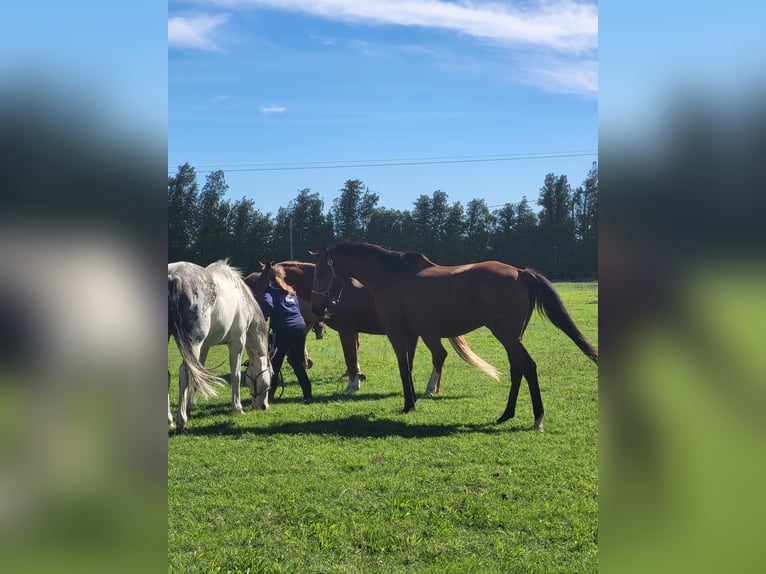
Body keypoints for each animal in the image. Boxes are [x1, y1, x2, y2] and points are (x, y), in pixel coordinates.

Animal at [169, 260, 272, 432]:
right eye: (271, 374)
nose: (264, 406)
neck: (241, 296)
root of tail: (172, 277)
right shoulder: (237, 342)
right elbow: (236, 375)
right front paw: (237, 407)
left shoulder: (204, 348)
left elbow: (198, 376)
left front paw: (189, 406)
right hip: (192, 343)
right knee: (184, 372)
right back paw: (180, 420)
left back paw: (170, 418)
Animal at [254, 260, 504, 396]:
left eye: (261, 281)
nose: (256, 305)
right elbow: (353, 355)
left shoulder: (346, 329)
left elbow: (350, 356)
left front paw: (353, 384)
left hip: (428, 333)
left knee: (439, 355)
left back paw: (430, 387)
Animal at [312, 243, 600, 432]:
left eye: (319, 272)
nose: (317, 308)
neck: (389, 275)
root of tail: (521, 272)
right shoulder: (411, 334)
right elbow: (410, 367)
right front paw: (413, 401)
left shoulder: (397, 333)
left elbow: (404, 368)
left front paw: (408, 404)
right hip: (512, 337)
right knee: (517, 369)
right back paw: (506, 414)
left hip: (507, 336)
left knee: (528, 367)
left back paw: (537, 417)